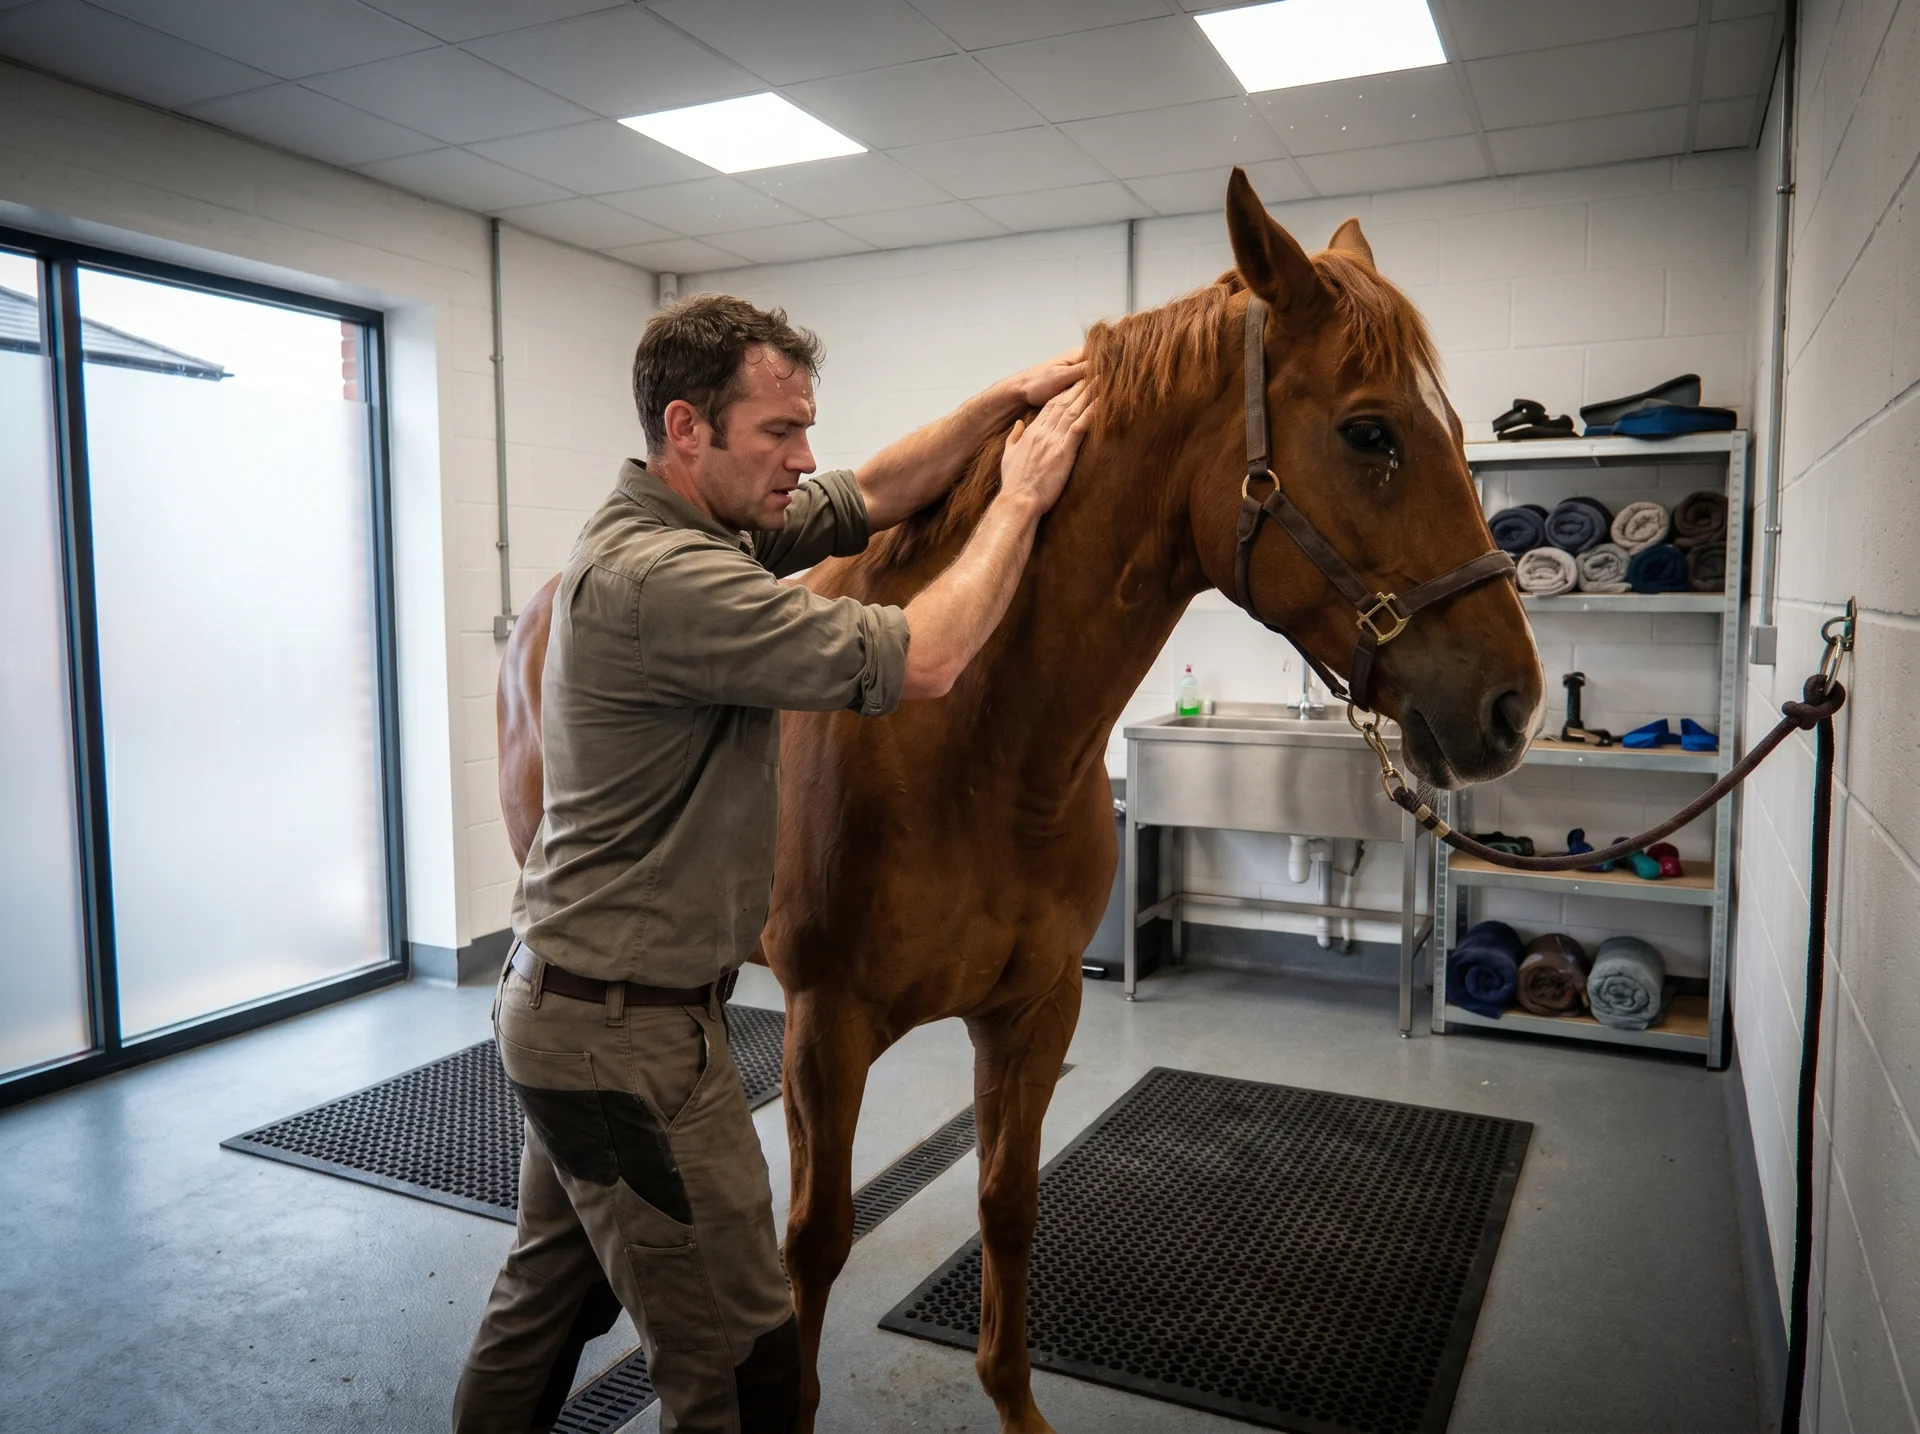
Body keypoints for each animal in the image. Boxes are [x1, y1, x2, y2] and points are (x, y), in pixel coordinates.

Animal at [496, 169, 1542, 1433]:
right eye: (1370, 431)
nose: (1511, 703)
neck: (979, 754)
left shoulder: (1038, 1009)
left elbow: (1008, 1203)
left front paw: (1014, 1400)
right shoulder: (823, 1028)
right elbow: (814, 1241)